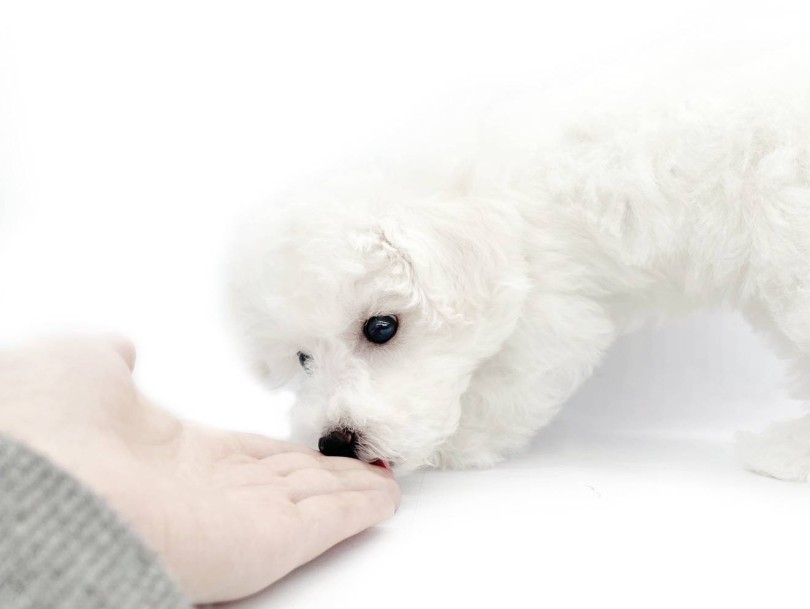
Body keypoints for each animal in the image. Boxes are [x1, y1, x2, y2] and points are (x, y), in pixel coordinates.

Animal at [228, 59, 810, 480]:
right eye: (302, 358)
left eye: (381, 327)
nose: (334, 444)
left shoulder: (550, 312)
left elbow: (505, 388)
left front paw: (457, 446)